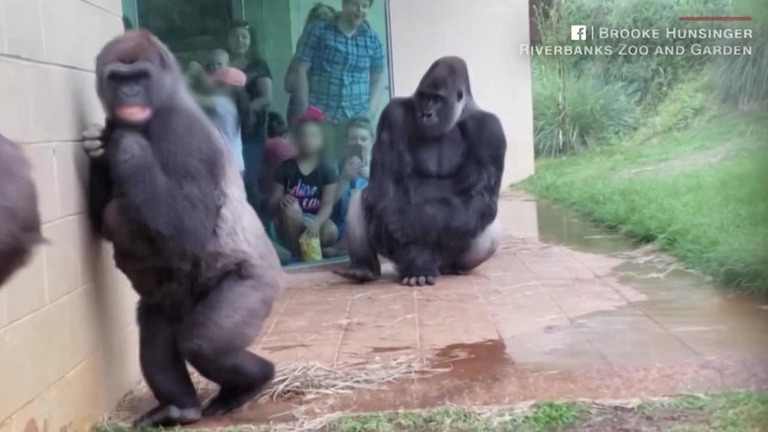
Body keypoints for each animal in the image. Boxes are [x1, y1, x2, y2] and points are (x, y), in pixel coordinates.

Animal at [82, 30, 284, 428]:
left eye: (139, 78)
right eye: (118, 79)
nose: (130, 95)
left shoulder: (183, 134)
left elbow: (186, 227)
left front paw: (128, 144)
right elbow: (101, 218)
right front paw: (99, 146)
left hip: (258, 284)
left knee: (206, 343)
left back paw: (253, 382)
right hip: (169, 300)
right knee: (157, 329)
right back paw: (180, 407)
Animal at [334, 56, 504, 286]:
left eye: (437, 98)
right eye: (423, 97)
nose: (426, 113)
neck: (458, 115)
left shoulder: (490, 130)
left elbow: (479, 197)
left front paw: (408, 223)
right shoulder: (392, 114)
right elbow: (384, 188)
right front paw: (418, 263)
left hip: (448, 259)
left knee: (490, 227)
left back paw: (453, 268)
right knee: (361, 196)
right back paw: (364, 268)